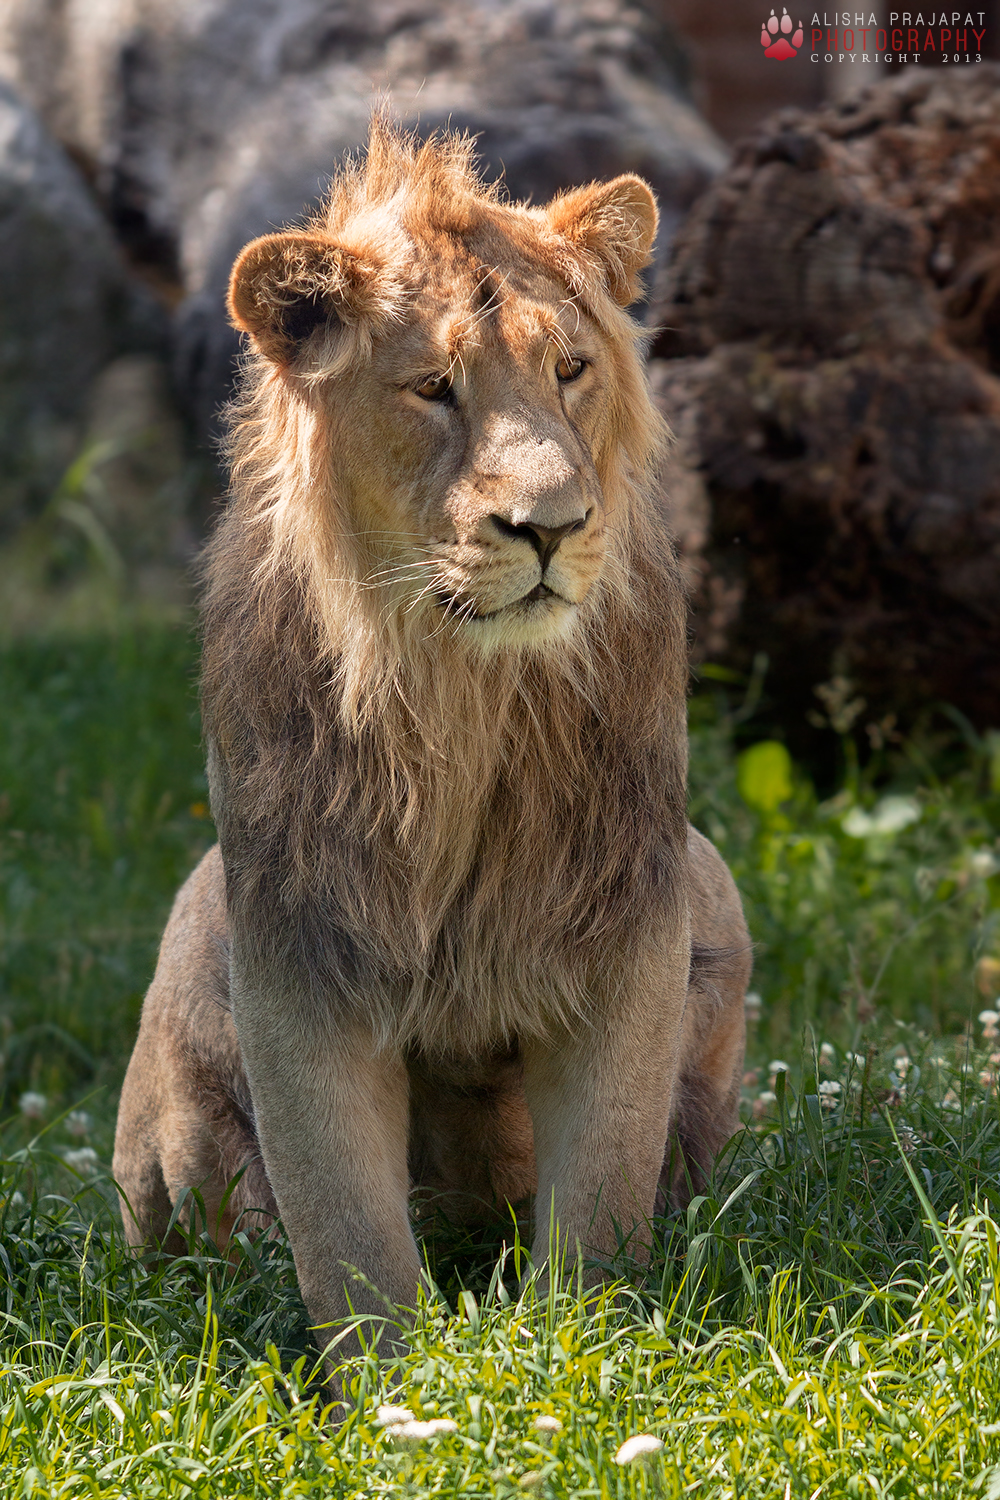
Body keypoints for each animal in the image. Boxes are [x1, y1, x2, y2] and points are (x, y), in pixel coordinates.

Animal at [113, 117, 746, 1362]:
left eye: (569, 370)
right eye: (432, 389)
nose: (550, 526)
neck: (460, 697)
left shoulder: (629, 913)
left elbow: (602, 1187)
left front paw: (574, 1360)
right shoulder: (297, 941)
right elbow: (345, 1229)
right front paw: (399, 1387)